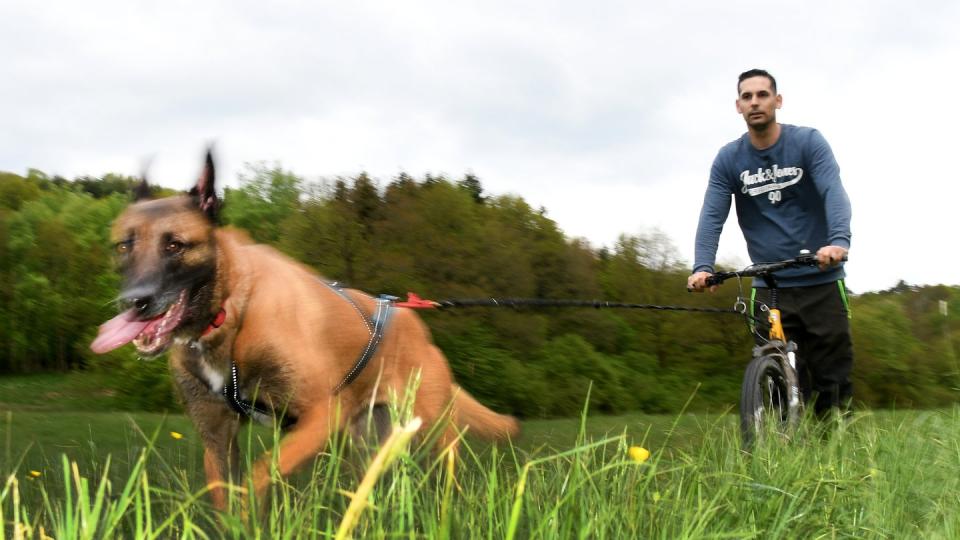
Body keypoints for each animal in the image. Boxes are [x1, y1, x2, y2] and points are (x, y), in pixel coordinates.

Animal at [92, 151, 516, 510]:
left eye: (175, 245)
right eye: (123, 246)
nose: (133, 302)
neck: (232, 312)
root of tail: (417, 327)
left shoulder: (320, 415)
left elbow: (259, 474)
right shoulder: (216, 437)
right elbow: (226, 500)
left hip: (430, 429)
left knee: (447, 475)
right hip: (367, 443)